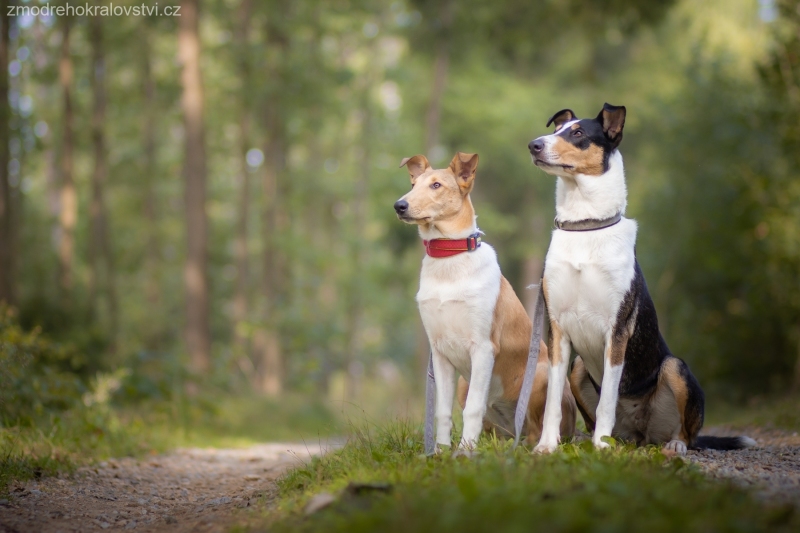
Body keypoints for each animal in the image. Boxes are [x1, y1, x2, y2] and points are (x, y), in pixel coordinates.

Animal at [528, 106, 752, 456]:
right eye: (557, 129)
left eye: (578, 133)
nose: (534, 145)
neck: (585, 228)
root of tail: (640, 433)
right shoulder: (558, 330)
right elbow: (553, 399)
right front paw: (546, 446)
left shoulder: (617, 330)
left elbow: (608, 398)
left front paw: (601, 448)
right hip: (578, 368)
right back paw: (596, 439)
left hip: (674, 367)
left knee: (686, 433)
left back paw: (668, 445)